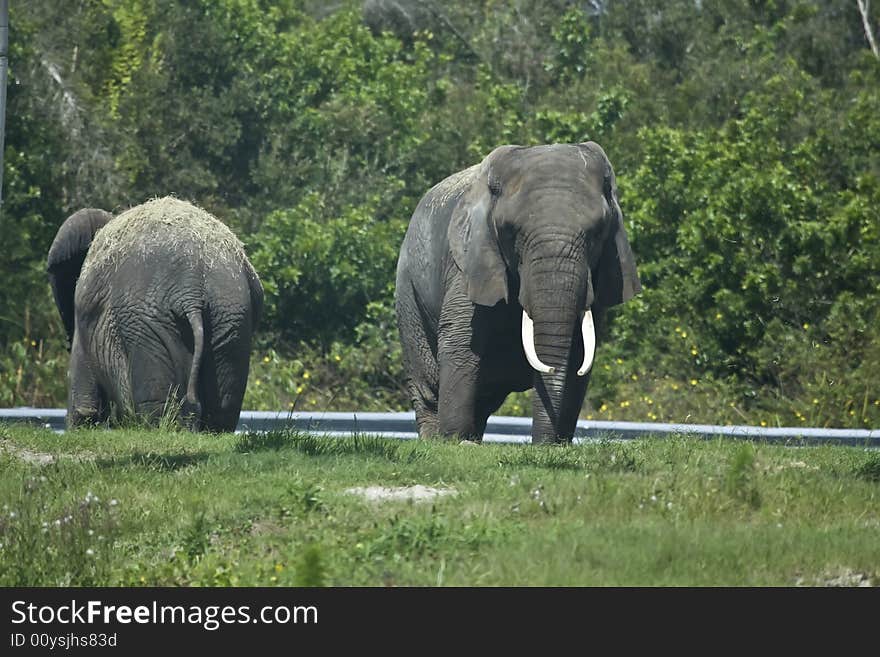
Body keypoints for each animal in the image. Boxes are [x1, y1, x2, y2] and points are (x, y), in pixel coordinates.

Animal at [48, 195, 262, 430]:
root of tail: (192, 291)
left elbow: (84, 406)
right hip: (230, 318)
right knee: (223, 408)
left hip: (146, 323)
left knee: (156, 405)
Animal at [396, 141, 644, 444]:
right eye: (511, 232)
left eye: (597, 233)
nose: (543, 444)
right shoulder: (468, 261)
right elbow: (461, 341)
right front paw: (455, 440)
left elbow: (579, 351)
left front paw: (555, 444)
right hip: (407, 289)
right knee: (428, 384)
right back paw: (438, 439)